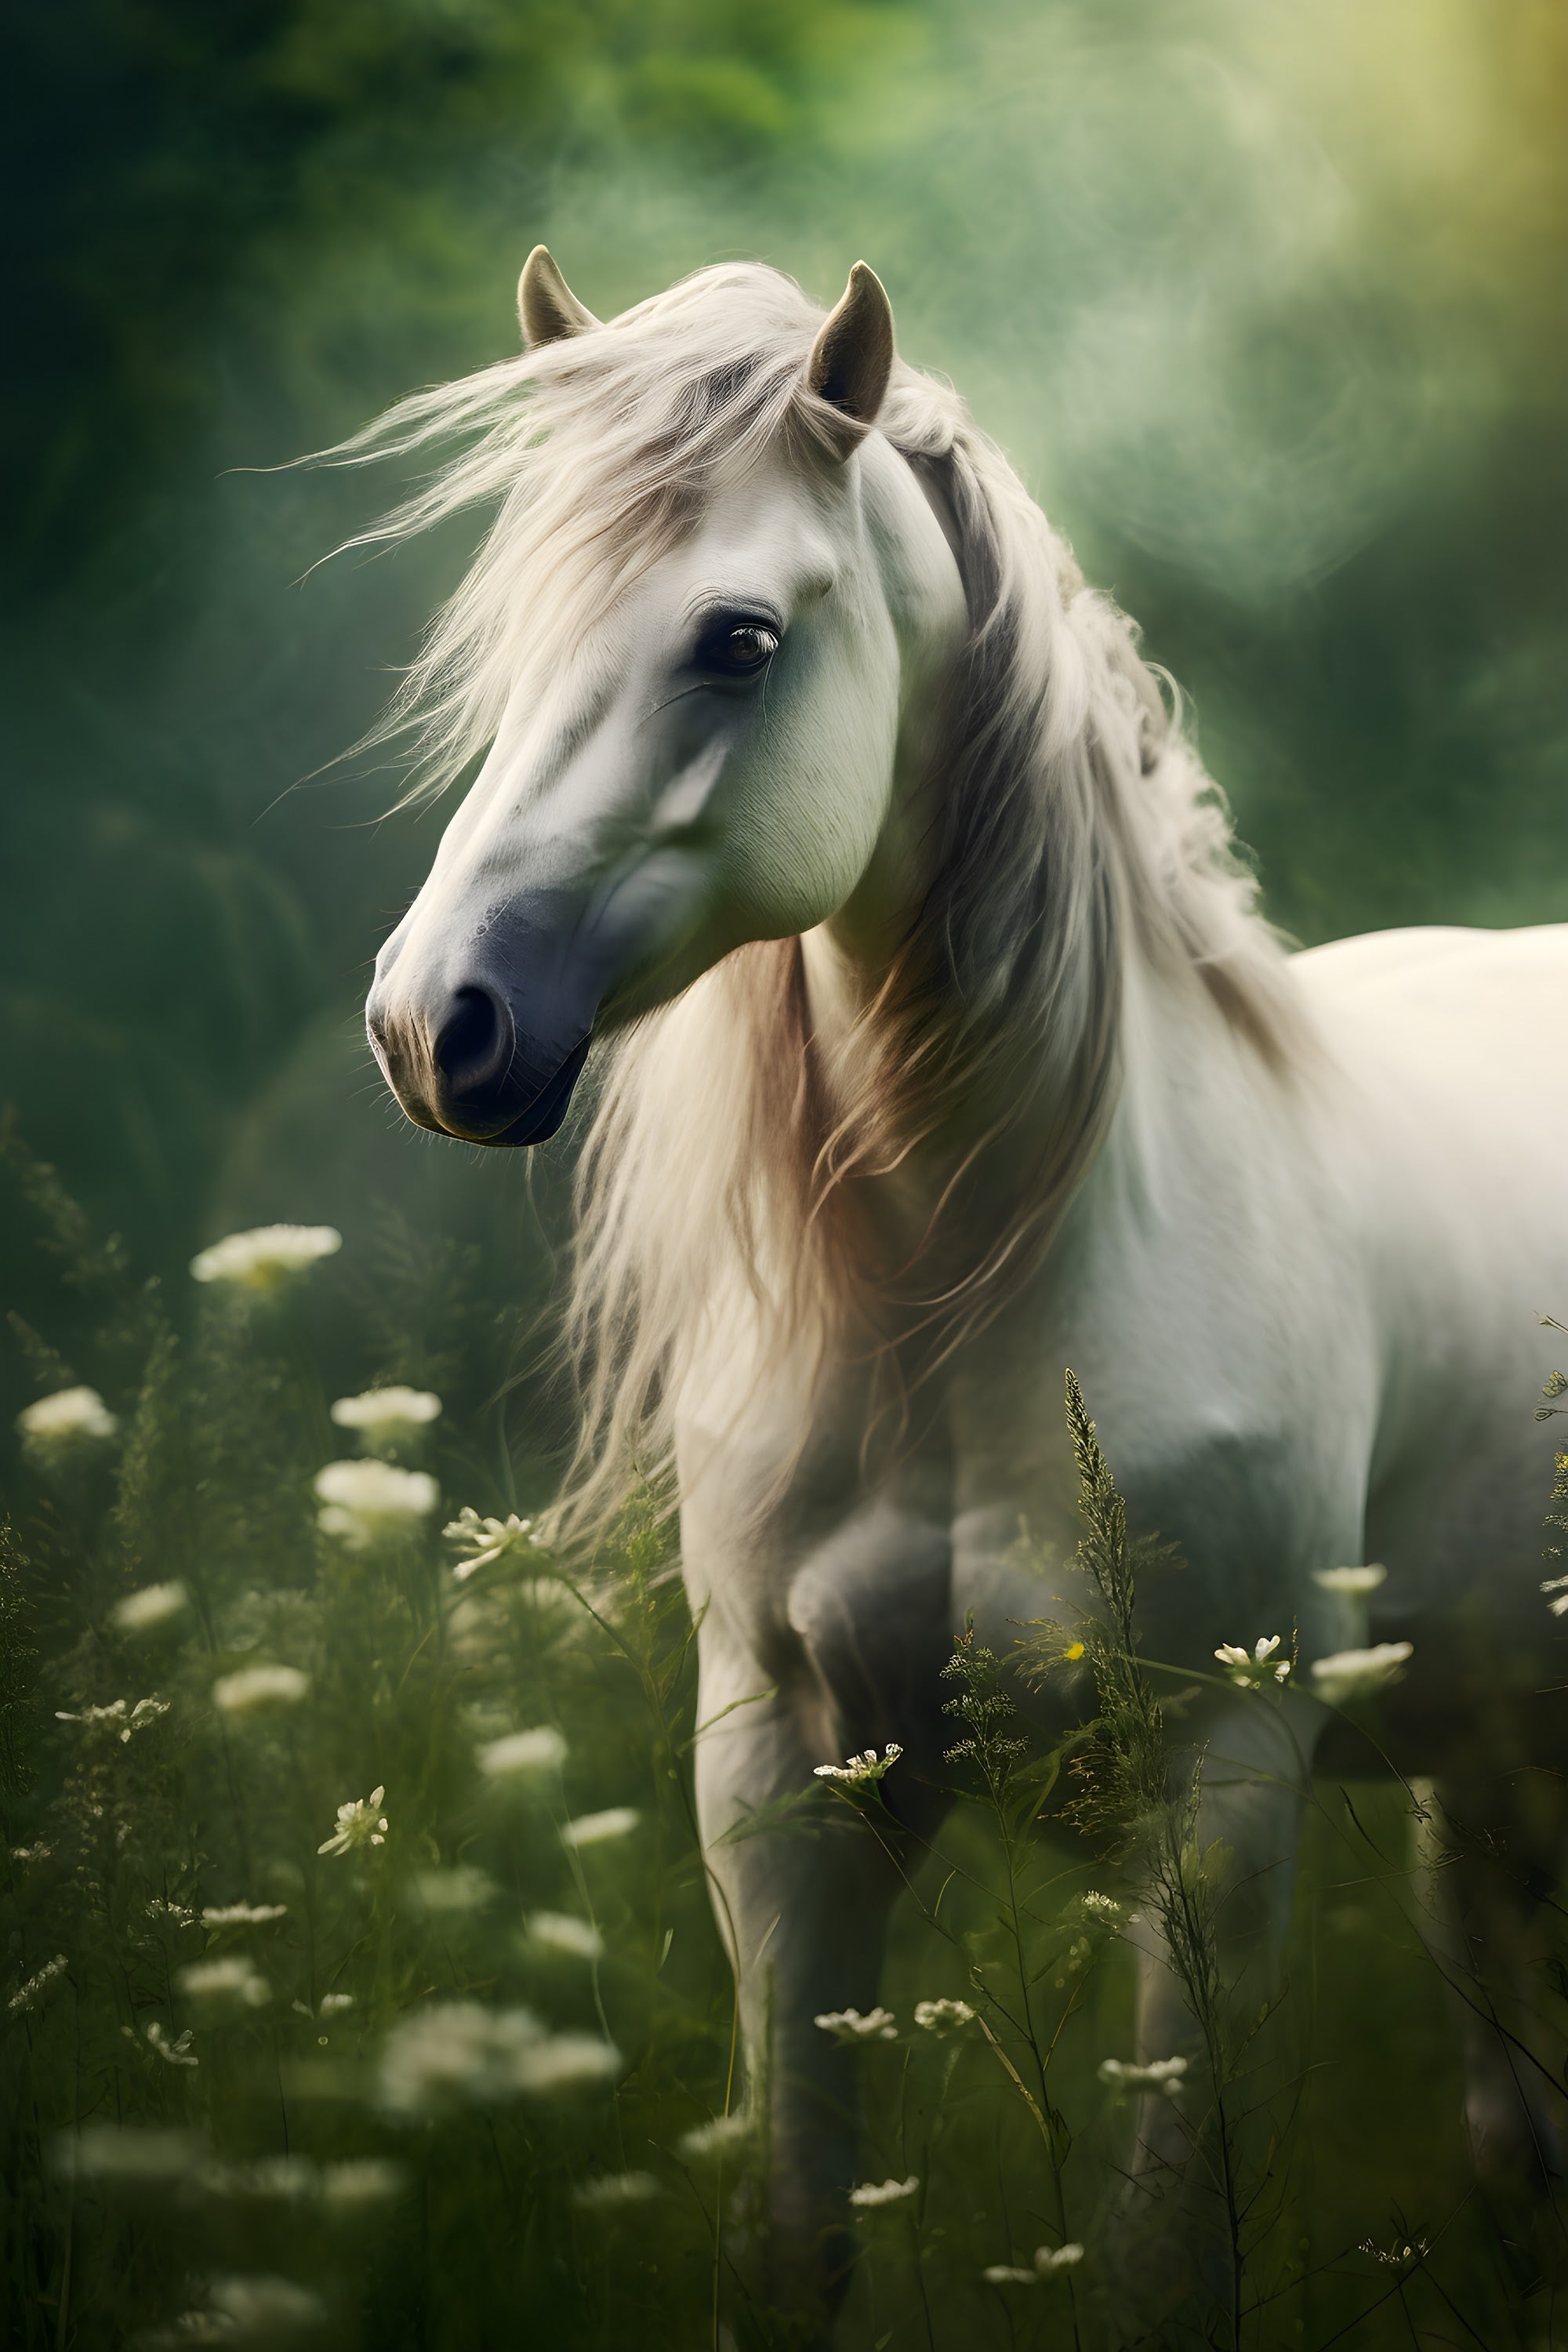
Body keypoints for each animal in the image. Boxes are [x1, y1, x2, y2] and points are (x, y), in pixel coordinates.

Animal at [355, 247, 1568, 2319]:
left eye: (737, 640)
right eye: (511, 638)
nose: (438, 1025)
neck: (982, 1286)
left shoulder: (1218, 1799)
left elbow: (1160, 2268)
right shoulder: (778, 1793)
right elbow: (792, 2239)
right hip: (1484, 1747)